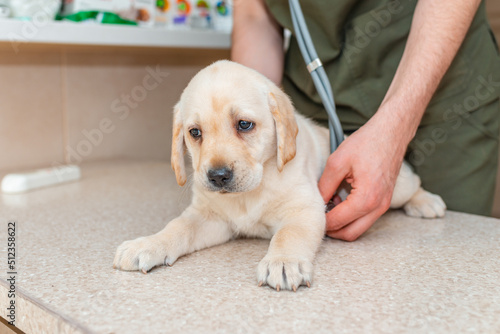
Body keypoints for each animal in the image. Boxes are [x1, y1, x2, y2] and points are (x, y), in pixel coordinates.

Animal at [114, 61, 446, 290]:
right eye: (195, 133)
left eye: (244, 125)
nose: (218, 176)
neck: (252, 191)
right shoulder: (209, 217)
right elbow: (177, 227)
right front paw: (147, 244)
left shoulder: (305, 209)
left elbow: (289, 235)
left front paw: (283, 263)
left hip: (397, 184)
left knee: (411, 183)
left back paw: (427, 202)